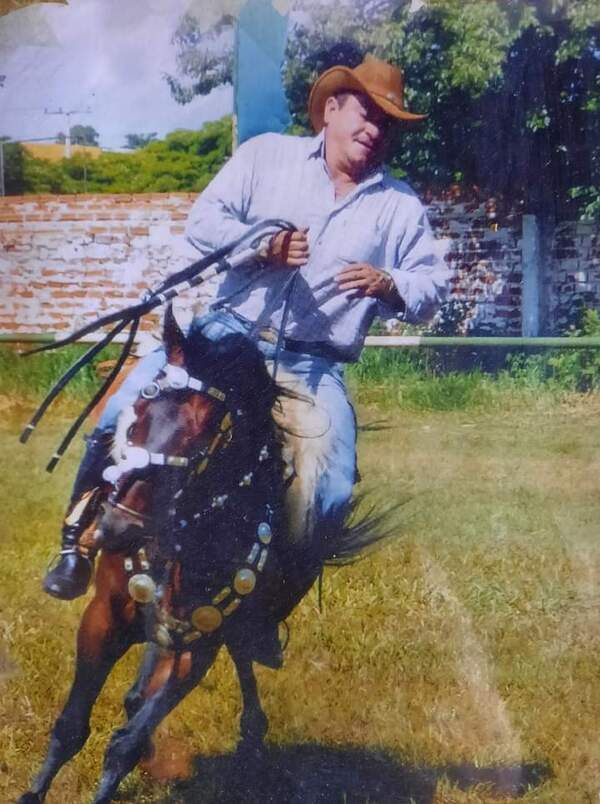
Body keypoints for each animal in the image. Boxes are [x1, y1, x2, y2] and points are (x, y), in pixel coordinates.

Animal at [18, 310, 386, 804]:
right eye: (137, 418)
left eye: (205, 439)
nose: (116, 528)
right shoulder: (104, 616)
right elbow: (71, 727)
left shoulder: (199, 640)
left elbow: (125, 744)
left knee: (238, 656)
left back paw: (251, 726)